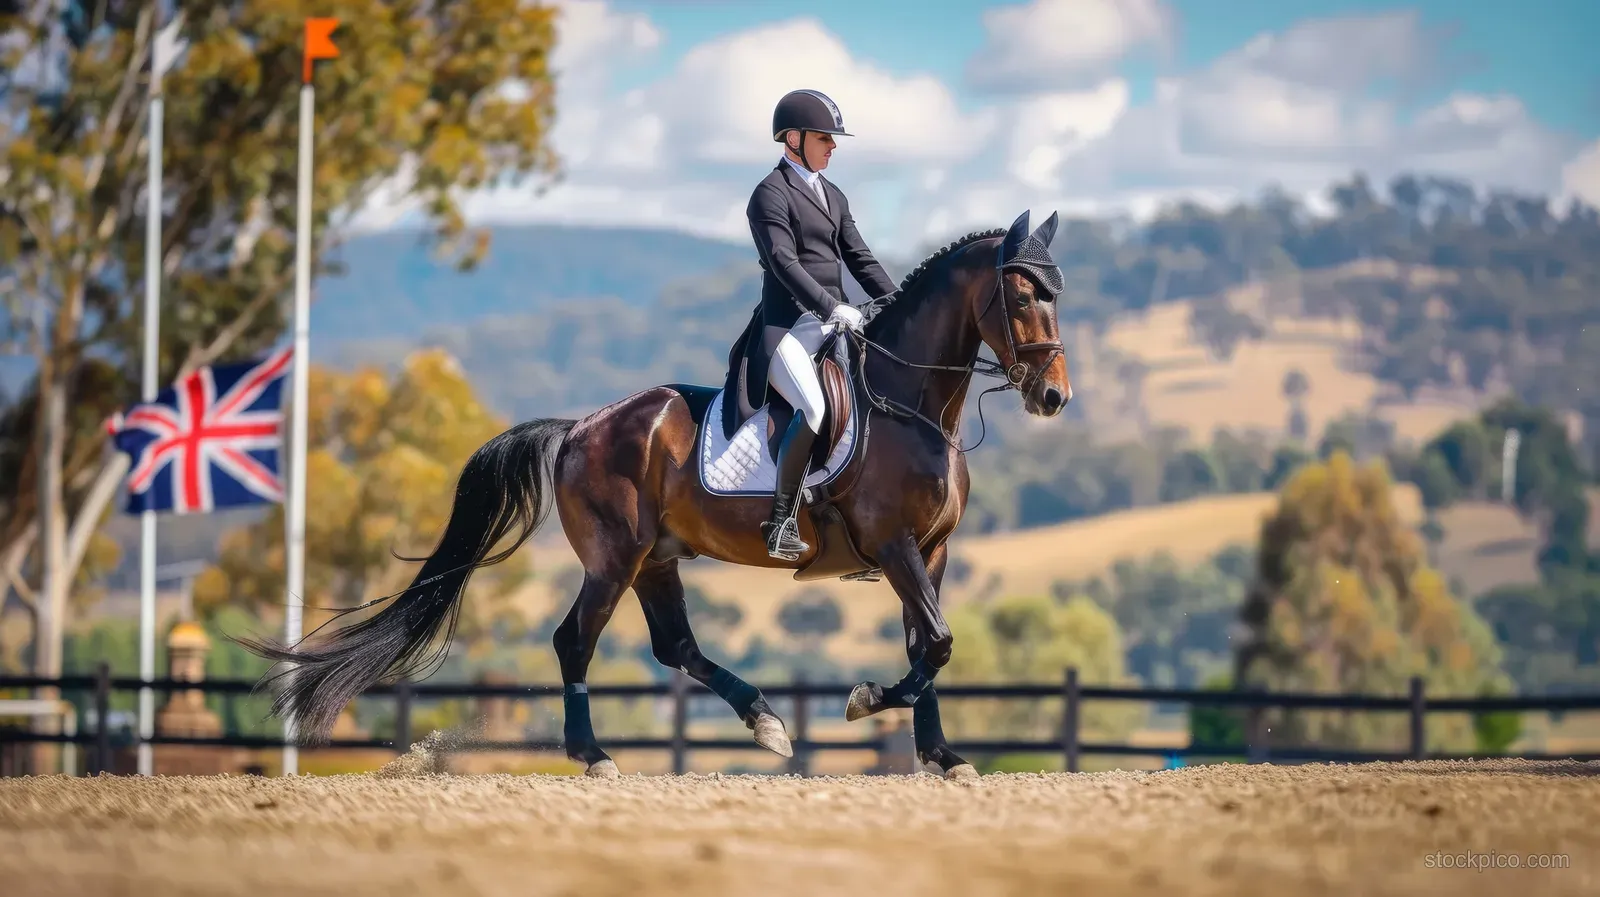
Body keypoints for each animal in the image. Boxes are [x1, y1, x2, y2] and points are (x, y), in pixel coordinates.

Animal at [241, 209, 1072, 780]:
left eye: (1055, 296)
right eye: (1020, 296)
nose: (1054, 397)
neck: (910, 404)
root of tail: (580, 425)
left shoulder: (931, 551)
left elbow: (928, 645)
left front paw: (941, 755)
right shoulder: (895, 545)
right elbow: (936, 641)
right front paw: (866, 698)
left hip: (657, 557)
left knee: (676, 645)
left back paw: (764, 721)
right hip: (614, 555)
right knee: (574, 640)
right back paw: (596, 754)